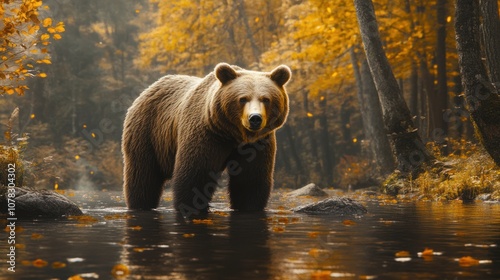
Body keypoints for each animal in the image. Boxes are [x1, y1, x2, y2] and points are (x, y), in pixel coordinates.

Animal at [121, 63, 292, 214]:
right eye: (243, 99)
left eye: (266, 99)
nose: (255, 118)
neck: (233, 134)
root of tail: (148, 89)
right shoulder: (206, 136)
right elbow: (195, 176)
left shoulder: (257, 145)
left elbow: (250, 181)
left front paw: (249, 206)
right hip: (148, 133)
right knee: (143, 176)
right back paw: (140, 205)